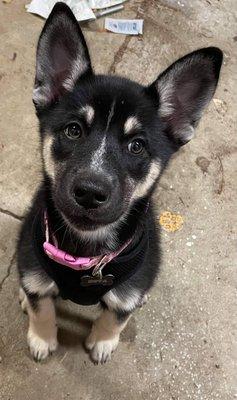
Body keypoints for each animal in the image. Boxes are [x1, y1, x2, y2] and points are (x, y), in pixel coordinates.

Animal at [16, 1, 222, 364]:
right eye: (73, 130)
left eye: (136, 146)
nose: (90, 192)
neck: (87, 255)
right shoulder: (33, 264)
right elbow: (42, 305)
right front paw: (41, 337)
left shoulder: (131, 286)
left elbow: (117, 314)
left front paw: (102, 341)